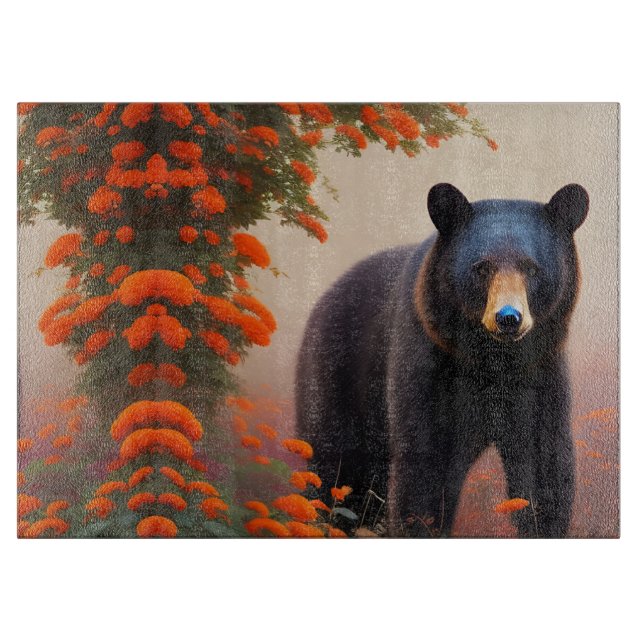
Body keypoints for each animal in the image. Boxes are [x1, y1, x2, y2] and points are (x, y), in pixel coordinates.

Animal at [295, 183, 589, 538]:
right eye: (482, 267)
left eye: (531, 267)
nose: (508, 317)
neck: (492, 361)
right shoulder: (428, 361)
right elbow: (424, 462)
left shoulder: (540, 370)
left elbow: (542, 461)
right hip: (336, 372)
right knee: (336, 465)